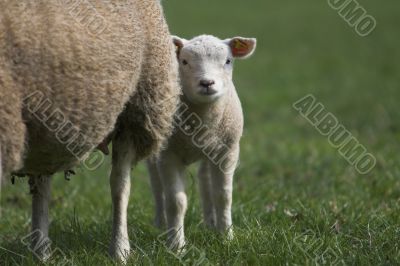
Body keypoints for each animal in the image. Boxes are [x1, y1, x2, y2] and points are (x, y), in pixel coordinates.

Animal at [0, 0, 179, 262]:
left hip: (138, 106)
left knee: (120, 185)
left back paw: (119, 251)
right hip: (45, 128)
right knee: (42, 187)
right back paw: (40, 253)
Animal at [147, 34, 256, 249]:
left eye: (228, 61)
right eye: (184, 62)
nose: (207, 83)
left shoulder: (228, 151)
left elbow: (223, 196)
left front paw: (226, 237)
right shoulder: (168, 154)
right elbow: (176, 201)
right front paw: (176, 246)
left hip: (210, 151)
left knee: (205, 182)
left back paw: (210, 223)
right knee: (156, 185)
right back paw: (160, 224)